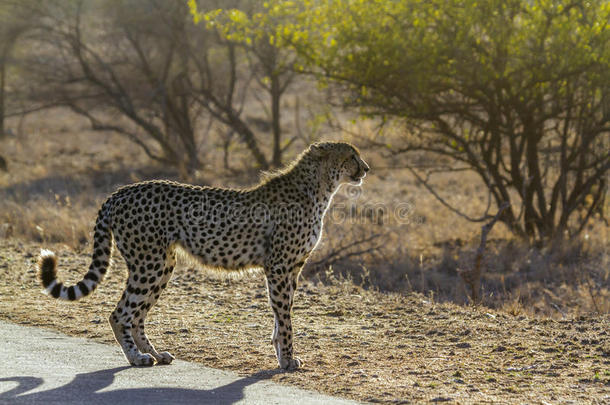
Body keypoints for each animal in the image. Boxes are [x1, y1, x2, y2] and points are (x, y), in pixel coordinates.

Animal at [39, 142, 370, 370]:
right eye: (351, 156)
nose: (366, 168)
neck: (320, 188)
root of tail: (121, 191)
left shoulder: (292, 268)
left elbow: (280, 315)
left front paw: (280, 353)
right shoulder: (279, 266)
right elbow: (285, 317)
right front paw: (287, 360)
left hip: (163, 264)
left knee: (137, 315)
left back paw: (156, 353)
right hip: (149, 263)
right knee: (120, 314)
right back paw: (137, 358)